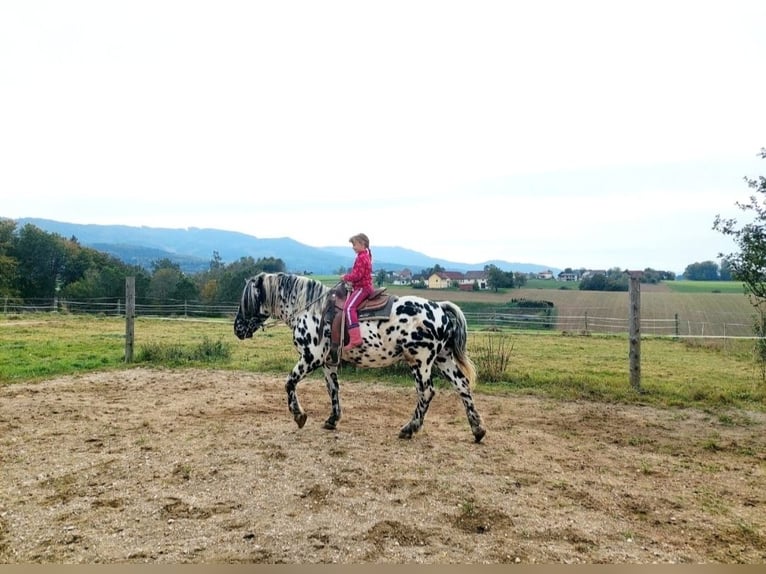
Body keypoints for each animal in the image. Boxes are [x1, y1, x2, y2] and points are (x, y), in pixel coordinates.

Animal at [232, 272, 486, 444]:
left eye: (247, 301)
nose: (238, 329)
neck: (310, 309)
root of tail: (440, 308)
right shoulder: (328, 362)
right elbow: (333, 389)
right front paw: (332, 419)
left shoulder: (311, 357)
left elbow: (289, 383)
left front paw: (299, 415)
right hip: (443, 359)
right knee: (462, 386)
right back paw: (478, 430)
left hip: (420, 361)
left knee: (426, 392)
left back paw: (409, 428)